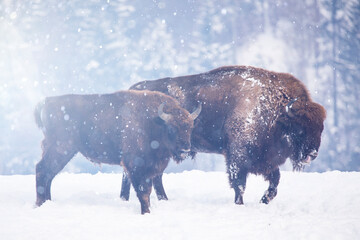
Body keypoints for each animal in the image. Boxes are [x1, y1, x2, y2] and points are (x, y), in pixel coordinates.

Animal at [34, 90, 200, 214]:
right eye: (172, 128)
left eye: (190, 127)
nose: (185, 149)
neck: (153, 121)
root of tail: (47, 101)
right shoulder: (135, 166)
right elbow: (143, 192)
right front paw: (146, 212)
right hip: (61, 149)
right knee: (43, 170)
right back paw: (40, 204)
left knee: (48, 174)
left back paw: (47, 202)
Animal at [121, 66, 326, 205]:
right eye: (300, 129)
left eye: (320, 129)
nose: (312, 154)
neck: (276, 113)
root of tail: (132, 89)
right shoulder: (237, 157)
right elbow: (239, 184)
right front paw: (240, 204)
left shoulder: (267, 161)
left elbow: (274, 183)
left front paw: (263, 201)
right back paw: (129, 198)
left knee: (153, 175)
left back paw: (158, 199)